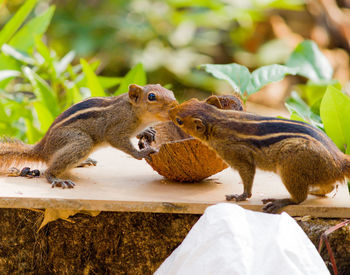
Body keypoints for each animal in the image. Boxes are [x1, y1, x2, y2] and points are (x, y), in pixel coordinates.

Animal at [0, 84, 178, 190]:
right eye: (152, 97)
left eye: (171, 92)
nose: (175, 105)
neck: (132, 109)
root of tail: (42, 148)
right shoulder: (116, 127)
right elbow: (117, 140)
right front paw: (141, 153)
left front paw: (147, 131)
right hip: (80, 141)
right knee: (49, 169)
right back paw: (56, 179)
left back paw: (83, 162)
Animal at [168, 96, 348, 213]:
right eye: (189, 101)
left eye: (179, 120)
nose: (170, 110)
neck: (218, 119)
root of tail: (339, 162)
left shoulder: (238, 155)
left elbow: (247, 173)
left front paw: (241, 196)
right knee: (330, 186)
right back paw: (316, 191)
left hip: (289, 161)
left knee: (300, 198)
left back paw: (279, 201)